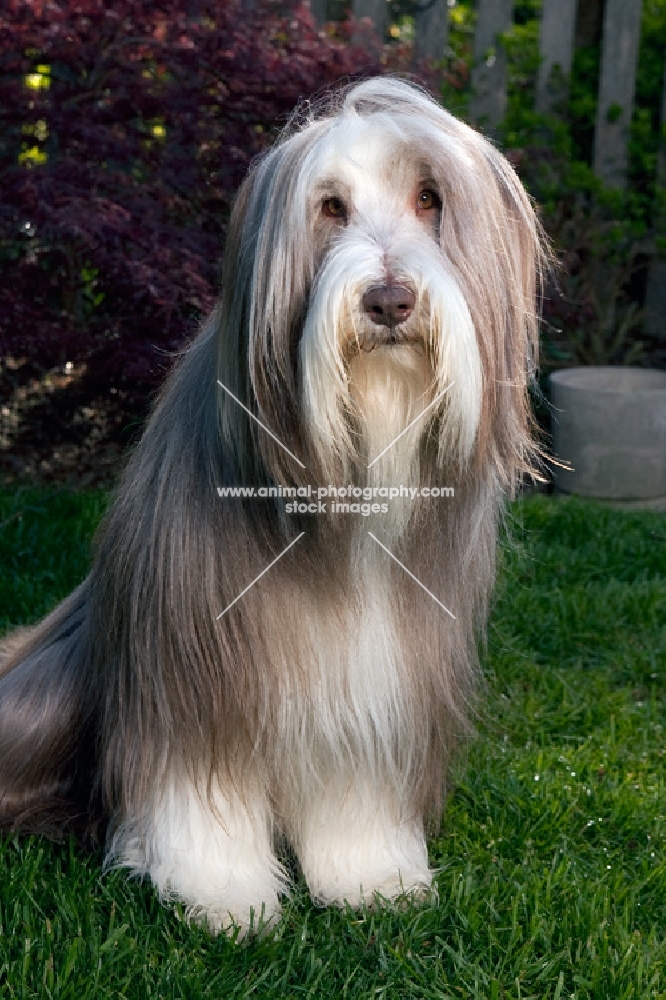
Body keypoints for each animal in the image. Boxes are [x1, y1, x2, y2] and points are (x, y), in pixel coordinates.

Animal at [0, 78, 544, 936]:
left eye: (430, 198)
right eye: (330, 207)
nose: (389, 300)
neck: (352, 475)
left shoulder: (376, 676)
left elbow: (356, 786)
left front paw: (369, 880)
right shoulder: (190, 662)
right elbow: (197, 792)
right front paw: (222, 895)